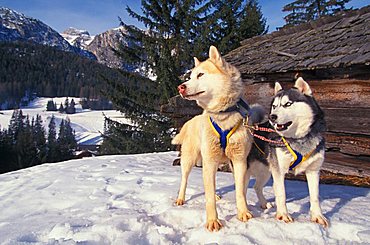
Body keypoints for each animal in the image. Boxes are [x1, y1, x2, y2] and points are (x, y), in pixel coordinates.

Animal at [175, 46, 270, 232]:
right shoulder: (210, 161)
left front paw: (243, 213)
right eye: (190, 76)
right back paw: (181, 198)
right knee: (184, 180)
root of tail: (190, 121)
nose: (180, 87)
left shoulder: (239, 161)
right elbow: (209, 197)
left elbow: (240, 191)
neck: (223, 115)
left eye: (200, 75)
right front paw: (213, 221)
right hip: (190, 160)